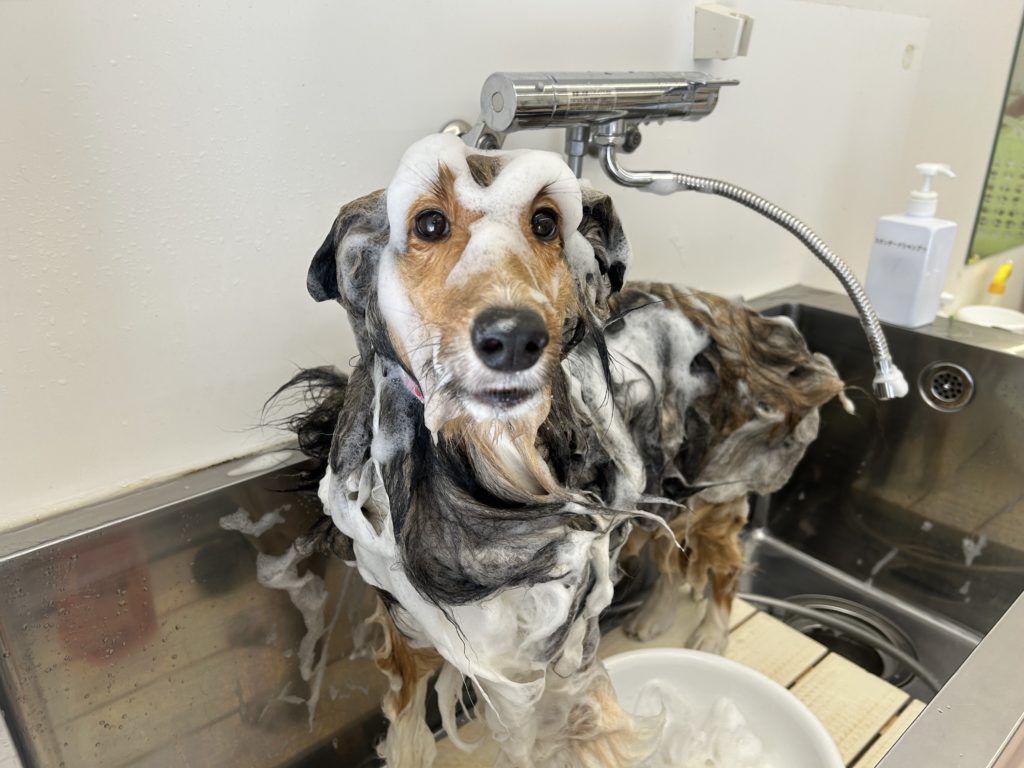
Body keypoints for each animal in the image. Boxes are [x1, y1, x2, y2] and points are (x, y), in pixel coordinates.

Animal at [285, 132, 844, 767]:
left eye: (546, 223)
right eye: (428, 223)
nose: (514, 337)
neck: (488, 471)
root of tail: (737, 311)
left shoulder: (563, 659)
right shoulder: (411, 631)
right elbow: (408, 731)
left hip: (716, 486)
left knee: (720, 567)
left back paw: (711, 633)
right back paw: (655, 617)